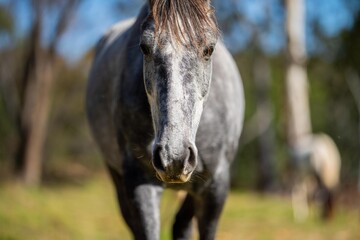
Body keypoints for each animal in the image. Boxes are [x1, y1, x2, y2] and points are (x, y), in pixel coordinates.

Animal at [87, 0, 245, 239]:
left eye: (209, 49)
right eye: (144, 47)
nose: (174, 158)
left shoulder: (215, 187)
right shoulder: (140, 183)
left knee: (181, 225)